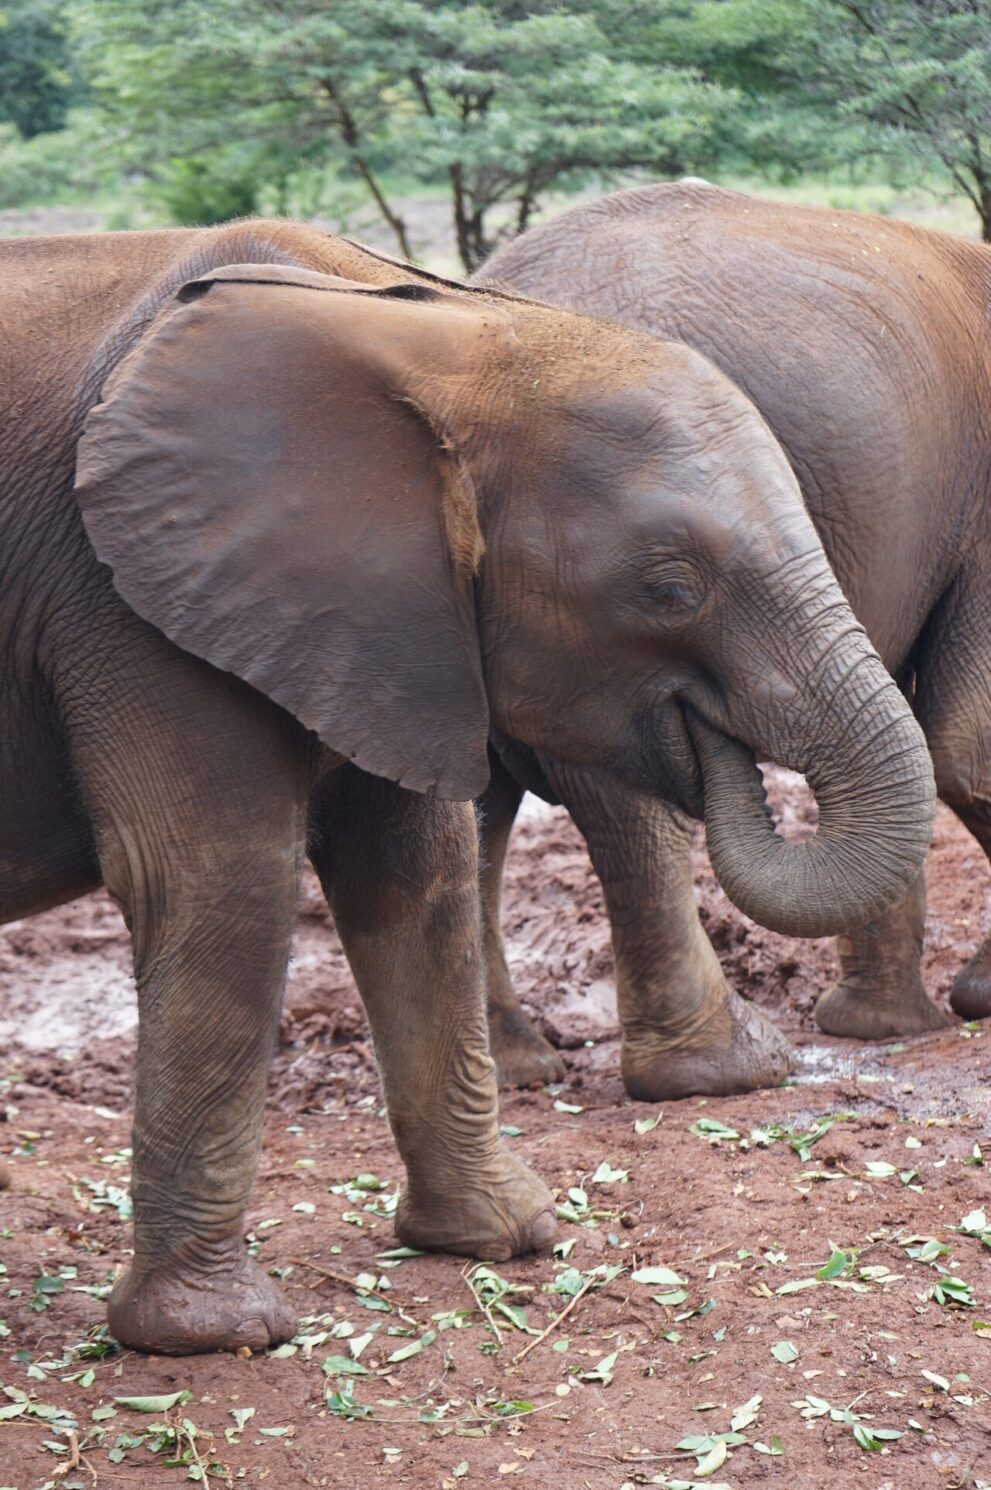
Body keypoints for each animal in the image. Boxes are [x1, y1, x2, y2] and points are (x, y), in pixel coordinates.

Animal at [0, 215, 933, 1356]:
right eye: (669, 588)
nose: (707, 734)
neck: (445, 334)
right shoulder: (126, 602)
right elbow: (219, 881)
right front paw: (215, 1335)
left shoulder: (383, 608)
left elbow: (416, 873)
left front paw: (503, 1238)